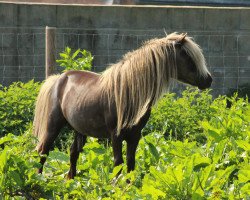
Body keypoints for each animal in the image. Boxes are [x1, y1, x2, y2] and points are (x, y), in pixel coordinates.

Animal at [33, 32, 213, 178]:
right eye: (188, 57)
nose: (208, 80)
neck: (129, 91)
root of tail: (59, 78)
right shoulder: (116, 135)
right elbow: (118, 163)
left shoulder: (135, 136)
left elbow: (130, 164)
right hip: (53, 125)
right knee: (43, 152)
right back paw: (39, 179)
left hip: (80, 130)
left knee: (73, 153)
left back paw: (71, 180)